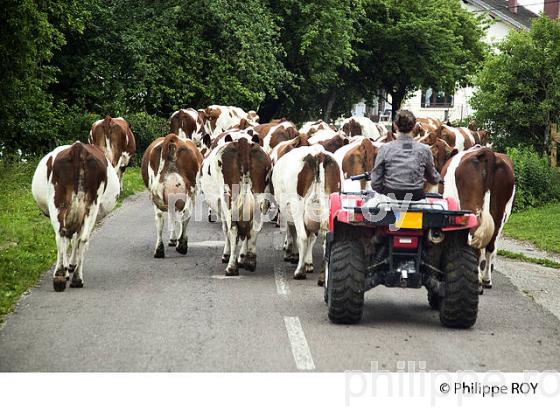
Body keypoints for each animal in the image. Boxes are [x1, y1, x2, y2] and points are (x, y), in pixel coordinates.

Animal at [31, 143, 120, 290]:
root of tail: (78, 148)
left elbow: (70, 240)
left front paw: (68, 267)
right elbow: (75, 239)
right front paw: (70, 266)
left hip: (58, 202)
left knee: (62, 235)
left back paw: (63, 275)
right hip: (90, 205)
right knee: (81, 238)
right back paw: (73, 278)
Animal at [200, 131, 272, 276]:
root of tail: (243, 142)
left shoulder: (220, 204)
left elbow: (226, 229)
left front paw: (227, 255)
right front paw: (243, 258)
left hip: (228, 198)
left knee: (233, 229)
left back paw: (231, 267)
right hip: (261, 198)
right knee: (255, 227)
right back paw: (251, 262)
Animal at [272, 144, 342, 282]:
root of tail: (317, 153)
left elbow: (295, 234)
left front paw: (294, 255)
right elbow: (312, 237)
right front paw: (308, 263)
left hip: (297, 205)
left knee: (302, 237)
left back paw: (299, 271)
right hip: (329, 203)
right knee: (325, 238)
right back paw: (322, 276)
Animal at [442, 147, 516, 292]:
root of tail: (486, 152)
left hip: (471, 209)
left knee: (473, 241)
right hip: (499, 214)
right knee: (491, 246)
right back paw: (486, 280)